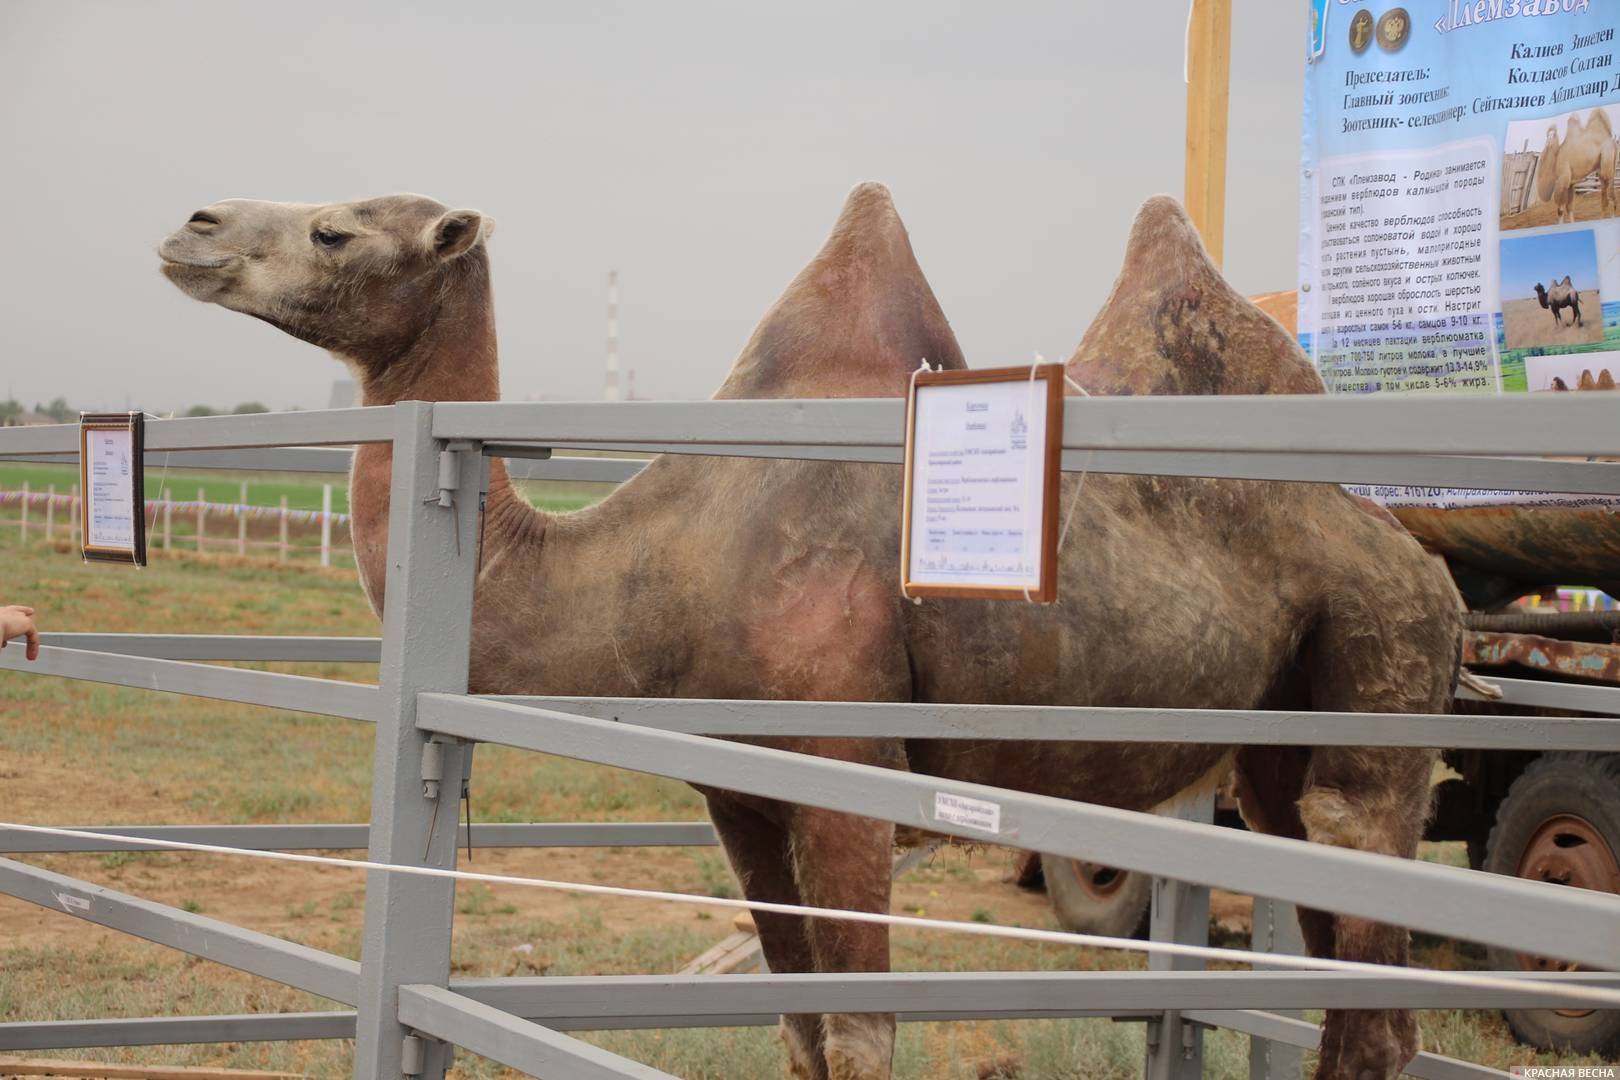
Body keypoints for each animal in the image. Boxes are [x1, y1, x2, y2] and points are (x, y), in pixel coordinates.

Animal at [157, 187, 1464, 1080]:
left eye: (335, 230)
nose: (193, 225)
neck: (657, 564)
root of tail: (1419, 555)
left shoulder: (847, 775)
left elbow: (861, 1037)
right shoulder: (736, 791)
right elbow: (798, 1030)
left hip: (1380, 672)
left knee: (1376, 982)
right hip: (1277, 746)